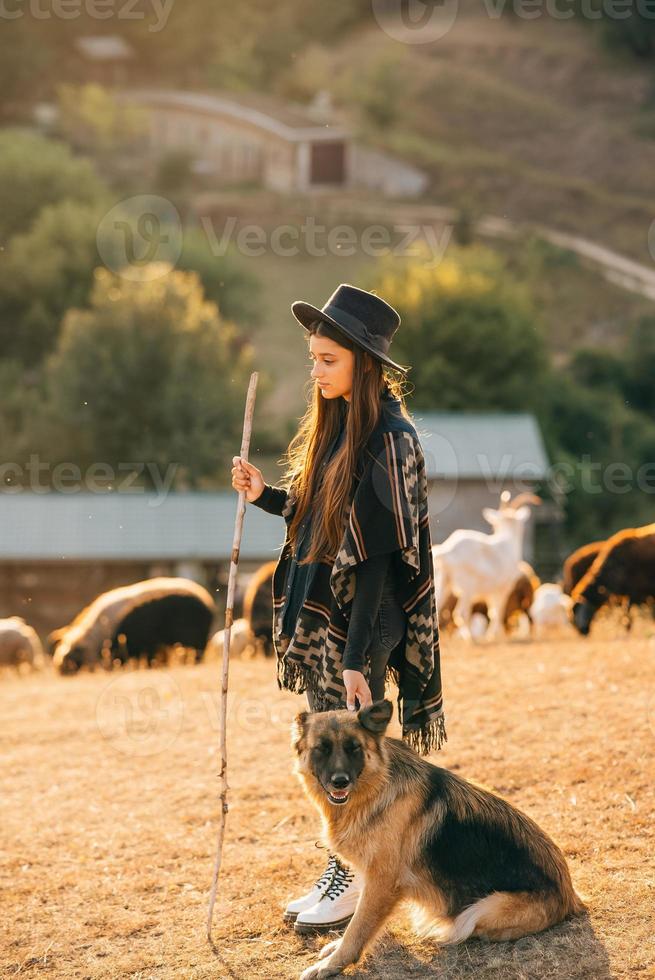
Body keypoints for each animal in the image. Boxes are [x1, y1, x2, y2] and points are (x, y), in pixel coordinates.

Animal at [292, 700, 584, 976]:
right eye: (322, 749)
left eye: (354, 748)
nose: (340, 782)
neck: (377, 787)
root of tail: (570, 896)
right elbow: (362, 922)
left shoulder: (382, 881)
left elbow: (358, 926)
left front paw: (332, 963)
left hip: (481, 910)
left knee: (465, 926)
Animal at [434, 490, 540, 644]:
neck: (508, 541)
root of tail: (447, 551)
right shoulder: (503, 588)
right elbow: (498, 611)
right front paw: (496, 635)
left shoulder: (491, 592)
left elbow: (492, 612)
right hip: (467, 588)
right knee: (461, 612)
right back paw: (472, 639)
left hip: (443, 581)